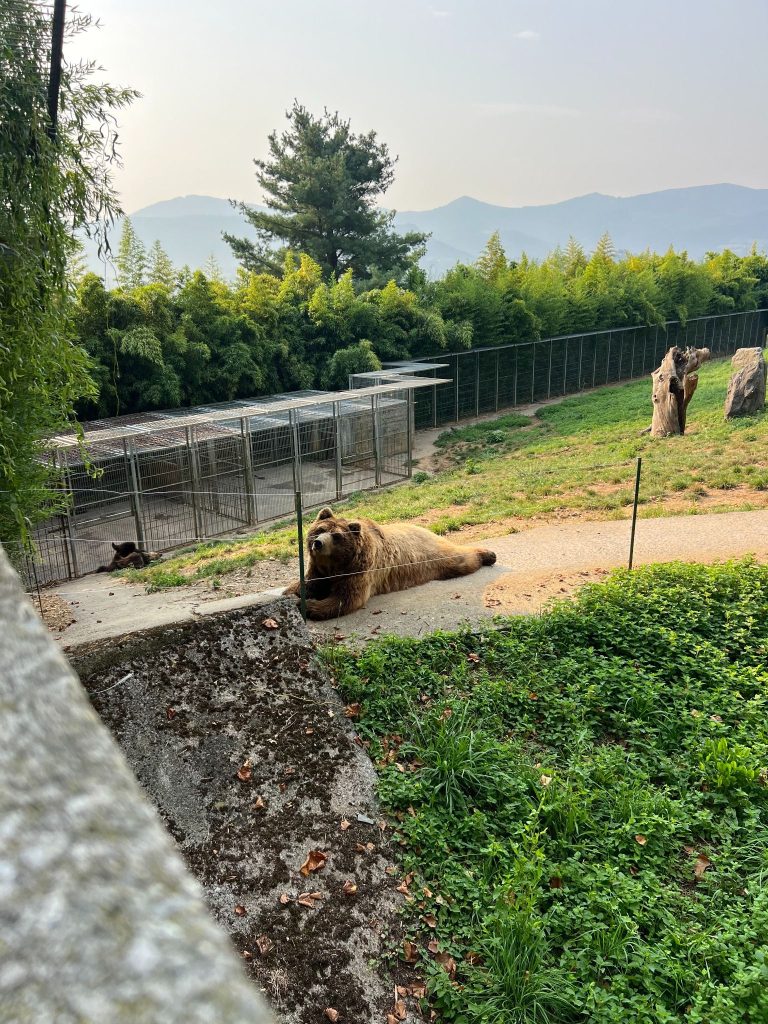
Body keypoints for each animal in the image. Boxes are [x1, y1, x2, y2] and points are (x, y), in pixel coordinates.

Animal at [284, 506, 497, 620]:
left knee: (459, 559)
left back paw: (488, 554)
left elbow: (346, 598)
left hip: (434, 556)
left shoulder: (360, 570)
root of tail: (424, 528)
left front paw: (308, 606)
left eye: (336, 536)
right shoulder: (319, 570)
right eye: (320, 529)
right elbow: (308, 583)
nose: (318, 543)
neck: (335, 565)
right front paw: (291, 592)